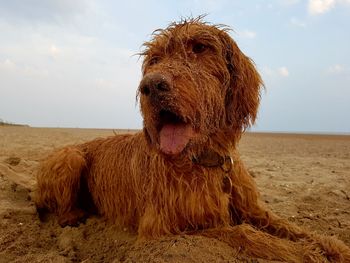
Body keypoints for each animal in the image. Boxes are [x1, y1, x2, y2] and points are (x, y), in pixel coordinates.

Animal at [34, 18, 350, 262]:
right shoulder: (167, 227)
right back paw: (73, 215)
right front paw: (305, 254)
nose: (151, 85)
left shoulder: (254, 210)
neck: (205, 159)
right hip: (70, 157)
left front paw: (332, 247)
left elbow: (293, 229)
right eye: (154, 60)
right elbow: (245, 234)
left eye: (200, 48)